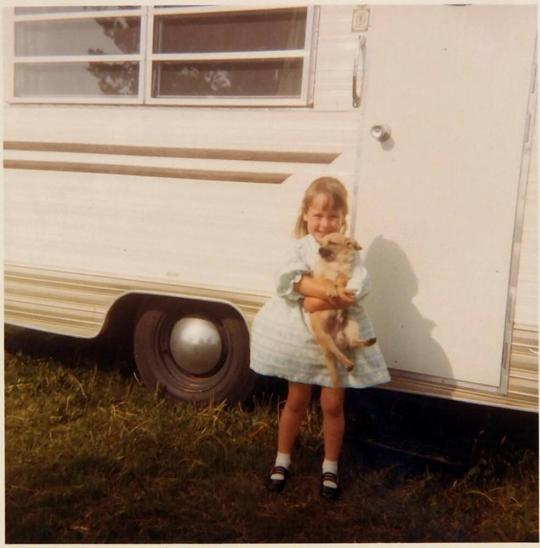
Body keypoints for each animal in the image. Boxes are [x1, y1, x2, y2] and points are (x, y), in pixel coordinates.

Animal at [308, 233, 376, 388]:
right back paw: (348, 363)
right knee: (337, 353)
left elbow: (341, 278)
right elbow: (327, 281)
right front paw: (332, 290)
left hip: (352, 325)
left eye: (332, 243)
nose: (319, 250)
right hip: (324, 337)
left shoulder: (346, 275)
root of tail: (338, 338)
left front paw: (340, 287)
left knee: (352, 343)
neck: (334, 263)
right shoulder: (318, 279)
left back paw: (367, 342)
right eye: (320, 244)